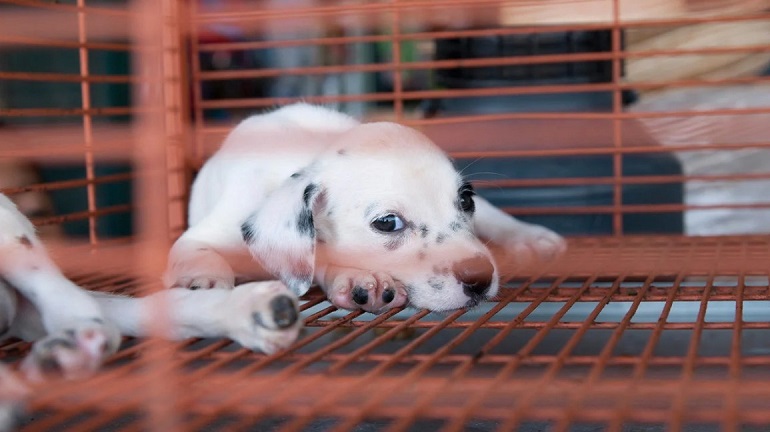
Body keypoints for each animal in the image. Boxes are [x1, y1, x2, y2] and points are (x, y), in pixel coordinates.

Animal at [164, 104, 564, 314]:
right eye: (387, 222)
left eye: (465, 200)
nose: (479, 277)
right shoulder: (209, 231)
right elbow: (199, 252)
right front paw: (203, 282)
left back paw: (530, 237)